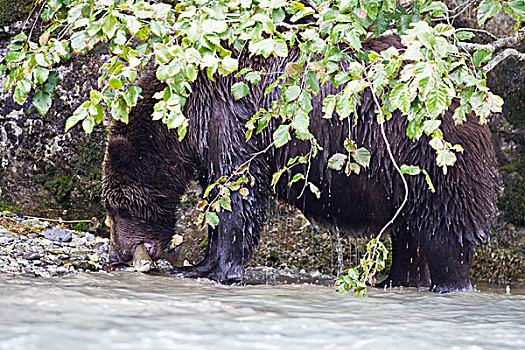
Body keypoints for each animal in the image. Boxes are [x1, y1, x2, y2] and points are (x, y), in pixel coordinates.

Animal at [101, 36, 496, 292]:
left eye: (118, 206)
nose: (116, 254)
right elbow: (220, 197)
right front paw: (200, 264)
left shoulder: (231, 120)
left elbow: (237, 194)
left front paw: (213, 270)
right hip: (401, 180)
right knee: (406, 233)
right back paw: (395, 280)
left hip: (430, 158)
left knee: (444, 230)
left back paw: (448, 285)